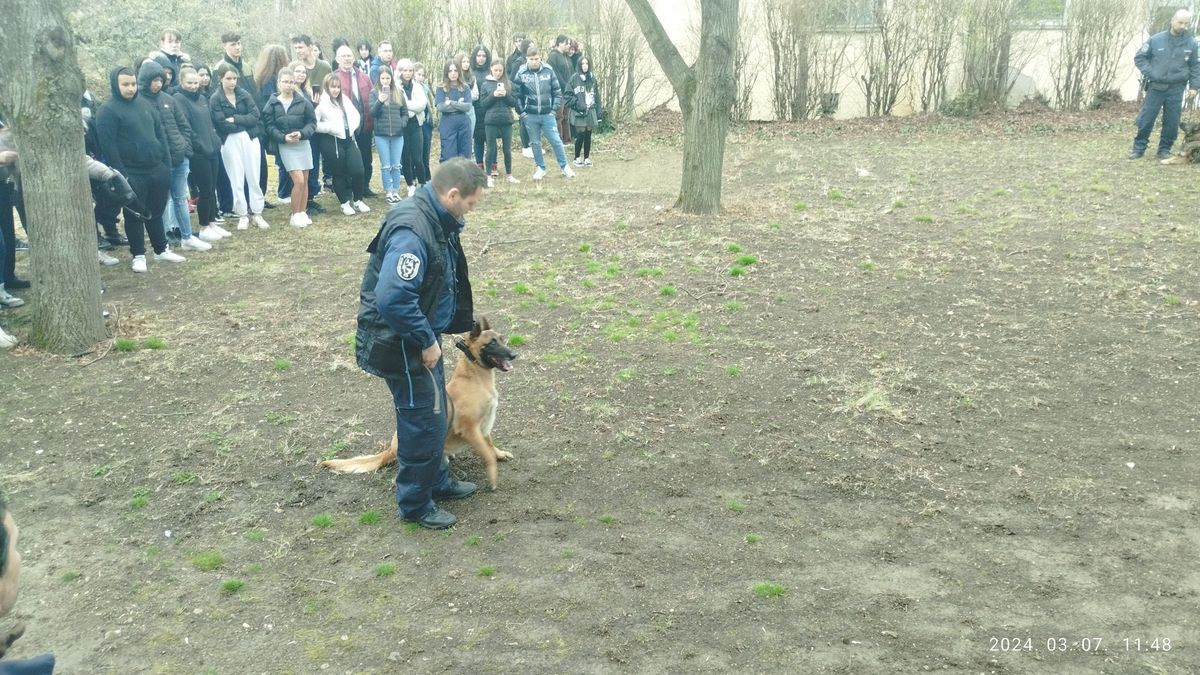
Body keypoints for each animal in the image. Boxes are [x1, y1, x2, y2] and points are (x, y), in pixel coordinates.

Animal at [321, 317, 518, 485]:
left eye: (502, 339)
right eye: (492, 343)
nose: (514, 355)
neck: (474, 376)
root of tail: (390, 450)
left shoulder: (484, 425)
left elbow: (490, 444)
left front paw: (499, 454)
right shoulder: (469, 428)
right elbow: (486, 454)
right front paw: (493, 473)